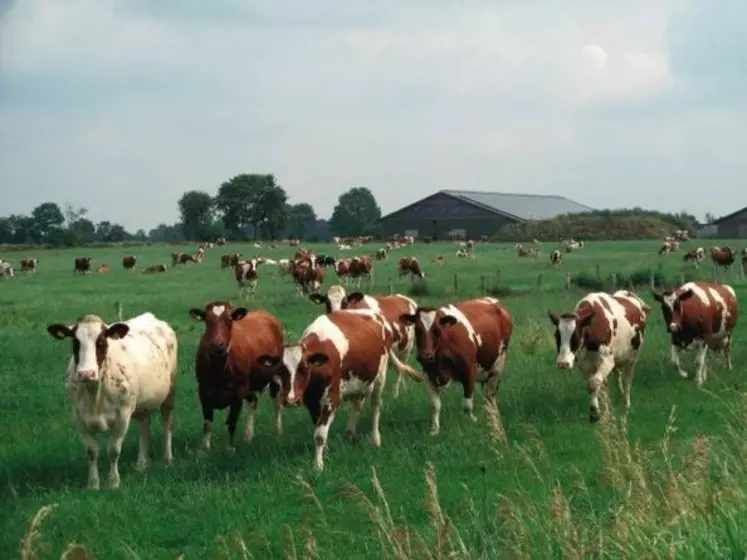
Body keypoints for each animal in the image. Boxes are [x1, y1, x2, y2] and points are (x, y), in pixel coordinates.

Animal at [47, 312, 180, 488]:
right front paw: (93, 484)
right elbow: (91, 451)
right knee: (144, 425)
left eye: (101, 342)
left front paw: (113, 482)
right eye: (75, 342)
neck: (94, 395)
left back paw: (168, 459)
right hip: (141, 403)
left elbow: (113, 450)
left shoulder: (123, 416)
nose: (86, 373)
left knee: (167, 424)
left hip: (169, 394)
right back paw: (141, 464)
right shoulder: (79, 417)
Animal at [190, 302, 286, 450]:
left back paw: (278, 432)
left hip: (274, 376)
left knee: (277, 403)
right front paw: (204, 449)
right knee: (253, 402)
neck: (218, 371)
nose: (217, 344)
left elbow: (232, 422)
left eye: (229, 320)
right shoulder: (204, 392)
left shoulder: (237, 394)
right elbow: (207, 423)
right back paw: (248, 436)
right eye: (207, 320)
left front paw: (230, 449)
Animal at [258, 308, 424, 470]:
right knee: (357, 406)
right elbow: (319, 427)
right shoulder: (312, 401)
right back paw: (350, 433)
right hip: (360, 381)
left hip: (379, 377)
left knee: (376, 407)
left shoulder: (332, 399)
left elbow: (319, 434)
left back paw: (375, 439)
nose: (291, 400)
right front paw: (325, 452)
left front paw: (318, 465)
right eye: (280, 370)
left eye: (304, 369)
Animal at [404, 296, 516, 436]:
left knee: (490, 396)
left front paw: (472, 422)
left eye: (437, 330)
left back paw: (493, 416)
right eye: (417, 330)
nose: (425, 356)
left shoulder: (470, 372)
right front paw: (435, 430)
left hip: (497, 368)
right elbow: (435, 405)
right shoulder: (428, 375)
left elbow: (467, 405)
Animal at [548, 290, 652, 422]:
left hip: (632, 358)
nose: (563, 363)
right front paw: (603, 411)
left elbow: (593, 383)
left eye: (576, 336)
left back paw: (625, 407)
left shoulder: (608, 361)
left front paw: (594, 412)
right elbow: (596, 386)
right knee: (615, 378)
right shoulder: (585, 365)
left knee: (626, 381)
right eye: (557, 336)